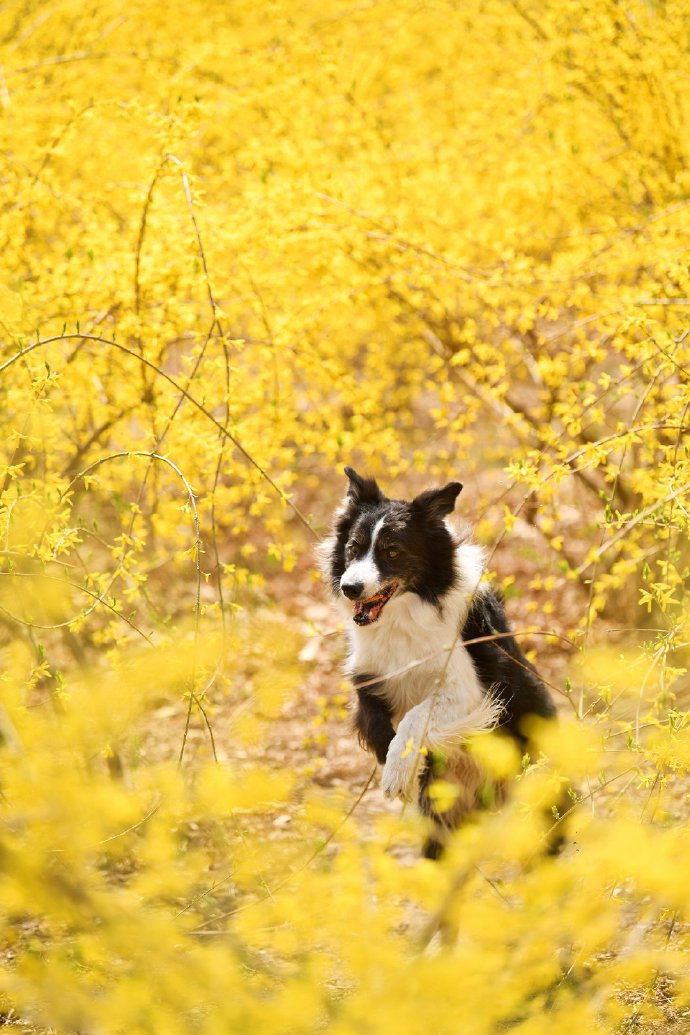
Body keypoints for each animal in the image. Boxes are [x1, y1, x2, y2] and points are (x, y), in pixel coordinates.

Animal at [322, 469, 554, 856]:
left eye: (393, 551)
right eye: (353, 548)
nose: (349, 588)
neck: (402, 615)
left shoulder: (468, 690)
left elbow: (414, 718)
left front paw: (398, 773)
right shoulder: (367, 677)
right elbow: (376, 722)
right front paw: (397, 766)